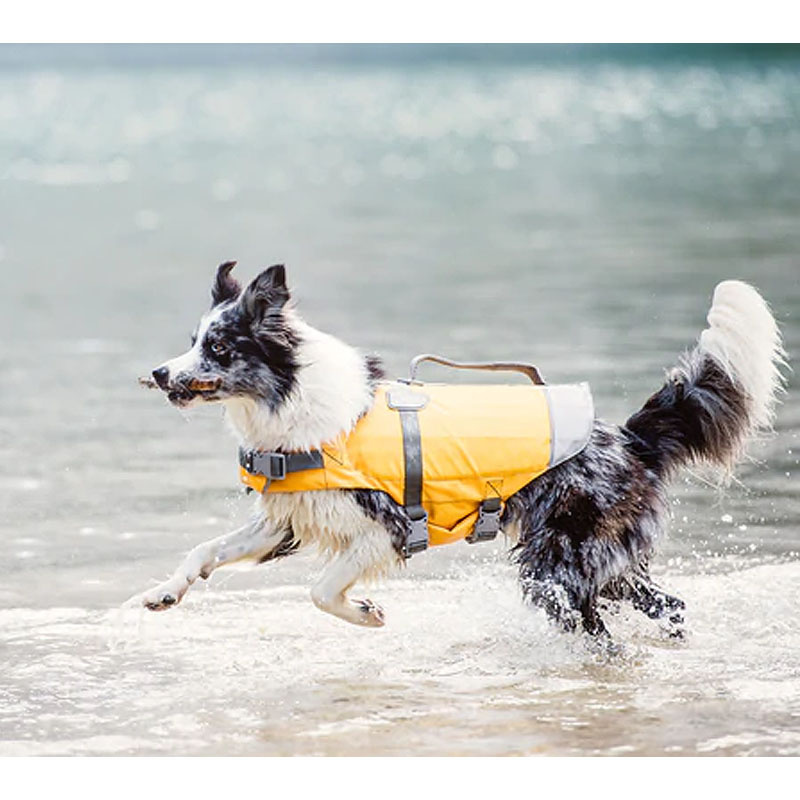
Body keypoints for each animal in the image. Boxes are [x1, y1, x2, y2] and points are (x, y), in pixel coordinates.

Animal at [141, 262, 784, 636]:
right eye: (192, 341)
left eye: (219, 347)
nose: (158, 372)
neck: (292, 400)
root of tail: (627, 436)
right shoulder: (291, 518)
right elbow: (204, 550)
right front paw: (164, 592)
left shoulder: (383, 530)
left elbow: (320, 590)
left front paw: (365, 614)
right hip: (609, 565)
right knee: (668, 607)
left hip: (556, 568)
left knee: (597, 631)